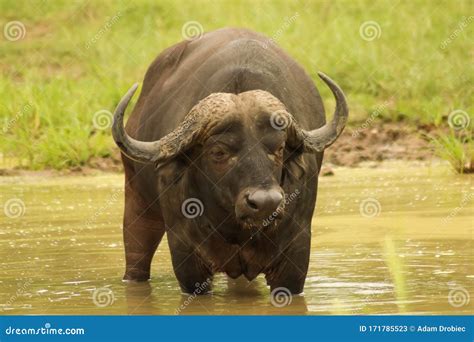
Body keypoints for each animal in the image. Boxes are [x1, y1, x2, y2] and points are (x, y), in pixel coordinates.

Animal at [112, 27, 346, 294]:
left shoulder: (296, 255)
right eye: (218, 152)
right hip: (136, 199)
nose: (266, 202)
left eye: (278, 148)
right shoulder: (186, 257)